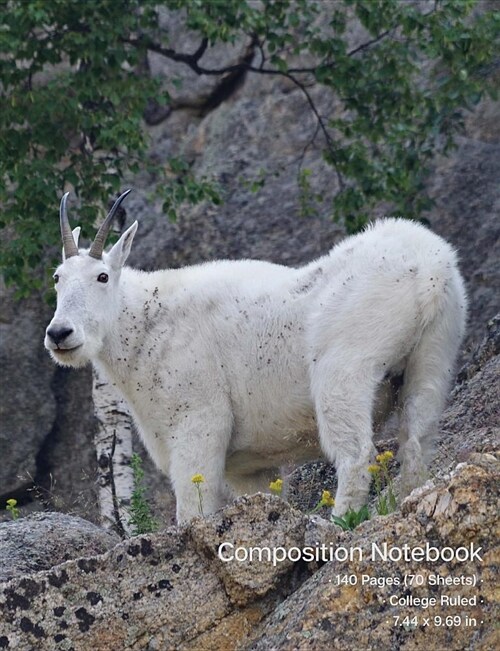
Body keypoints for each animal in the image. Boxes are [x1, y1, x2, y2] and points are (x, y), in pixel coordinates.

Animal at [45, 190, 466, 524]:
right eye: (57, 277)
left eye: (102, 276)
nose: (59, 333)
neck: (145, 323)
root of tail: (430, 272)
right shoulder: (249, 465)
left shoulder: (199, 419)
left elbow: (193, 508)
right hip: (435, 350)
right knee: (418, 438)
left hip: (346, 364)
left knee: (356, 452)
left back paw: (339, 521)